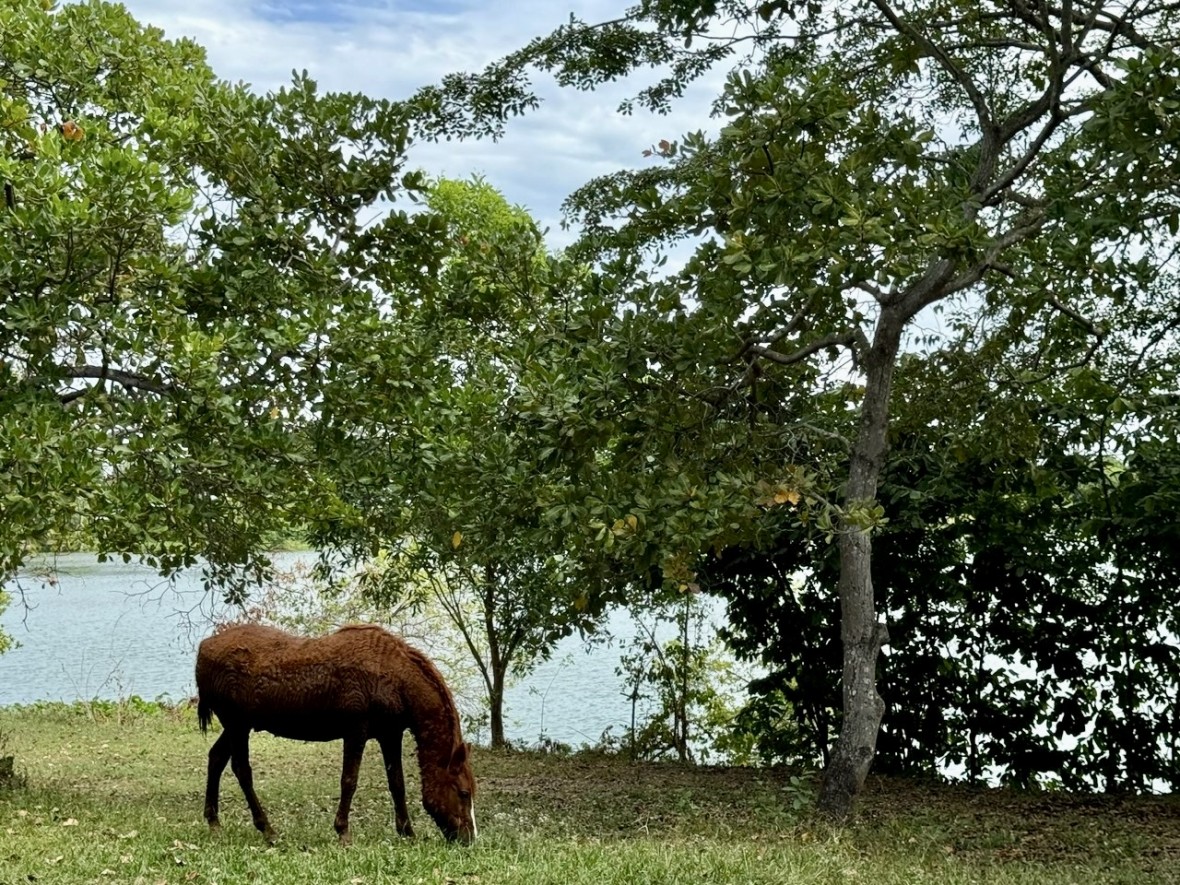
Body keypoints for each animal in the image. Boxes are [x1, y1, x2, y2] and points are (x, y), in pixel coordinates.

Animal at [193, 623, 474, 844]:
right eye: (464, 793)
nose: (469, 839)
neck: (395, 677)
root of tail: (205, 647)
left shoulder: (390, 734)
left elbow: (397, 784)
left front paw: (407, 832)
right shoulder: (356, 731)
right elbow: (349, 781)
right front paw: (343, 831)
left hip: (236, 726)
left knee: (216, 758)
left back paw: (214, 821)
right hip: (237, 725)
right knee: (242, 770)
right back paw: (267, 829)